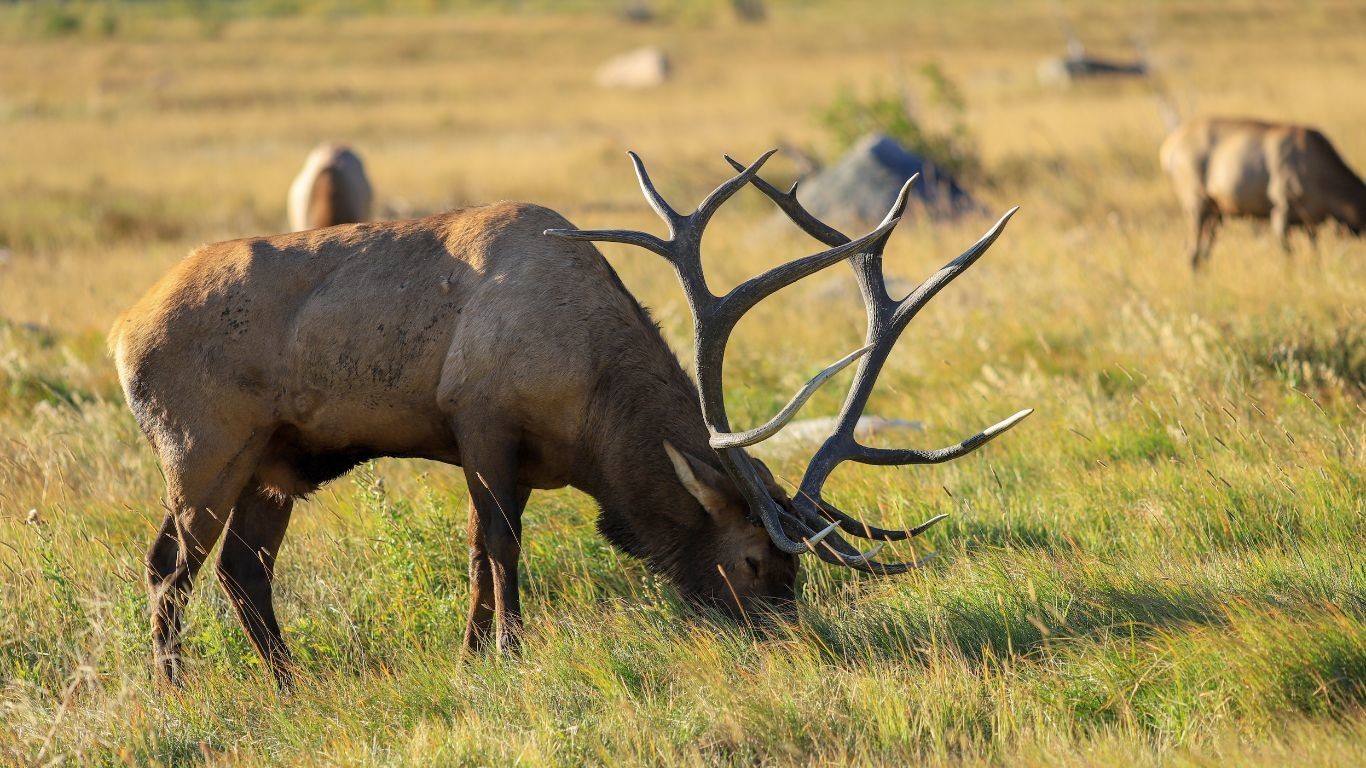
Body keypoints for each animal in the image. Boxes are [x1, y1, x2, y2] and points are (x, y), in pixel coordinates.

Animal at [109, 150, 1028, 687]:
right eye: (755, 561)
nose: (794, 643)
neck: (593, 414)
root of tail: (121, 331)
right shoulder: (478, 417)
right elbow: (500, 547)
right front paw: (508, 653)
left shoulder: (515, 458)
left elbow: (479, 551)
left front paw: (472, 655)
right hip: (202, 447)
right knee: (169, 566)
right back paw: (175, 690)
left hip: (275, 461)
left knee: (243, 571)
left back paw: (292, 683)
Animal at [1160, 118, 1366, 269]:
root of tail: (1167, 149)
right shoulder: (1281, 209)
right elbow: (1288, 255)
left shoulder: (1311, 222)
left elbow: (1314, 254)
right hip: (1196, 203)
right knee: (1192, 252)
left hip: (1215, 212)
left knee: (1203, 251)